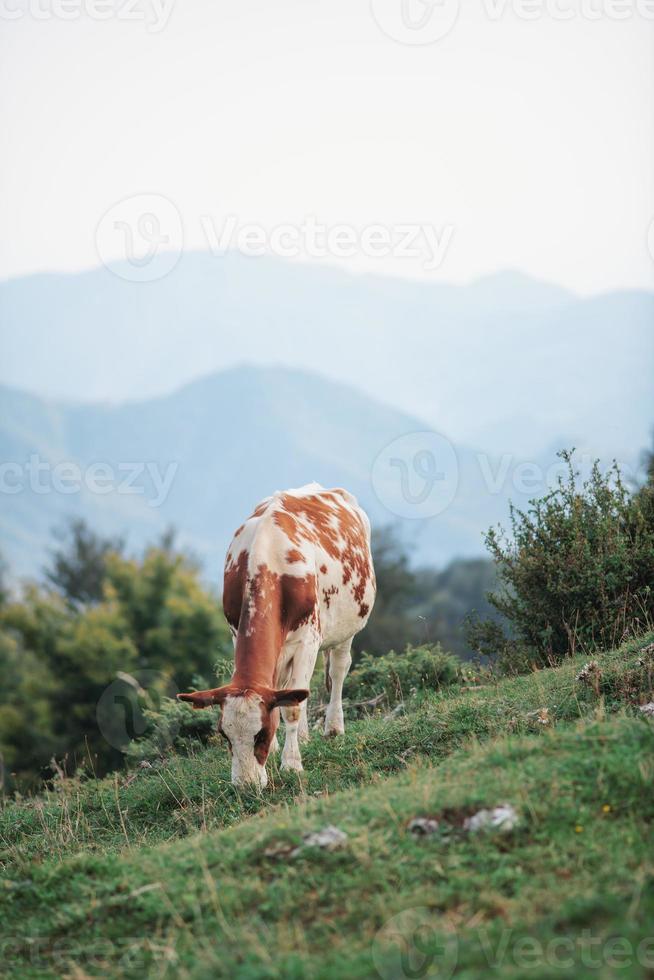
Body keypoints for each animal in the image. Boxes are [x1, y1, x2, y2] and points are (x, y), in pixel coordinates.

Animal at [177, 482, 376, 788]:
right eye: (225, 735)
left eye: (260, 733)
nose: (245, 786)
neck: (267, 563)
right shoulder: (236, 632)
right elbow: (283, 695)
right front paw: (277, 753)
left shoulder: (308, 640)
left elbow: (292, 707)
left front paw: (291, 764)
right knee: (295, 688)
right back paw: (303, 736)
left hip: (348, 624)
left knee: (338, 670)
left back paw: (333, 727)